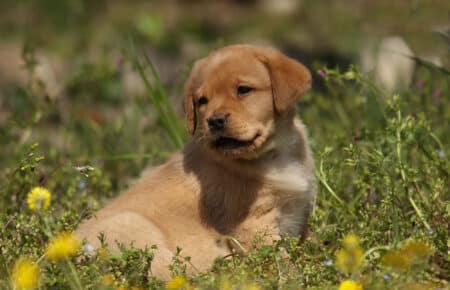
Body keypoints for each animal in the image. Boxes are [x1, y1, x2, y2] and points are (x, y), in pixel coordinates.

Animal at [77, 44, 314, 278]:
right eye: (203, 101)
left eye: (243, 90)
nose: (215, 121)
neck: (273, 155)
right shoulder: (254, 225)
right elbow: (282, 263)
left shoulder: (300, 212)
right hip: (136, 229)